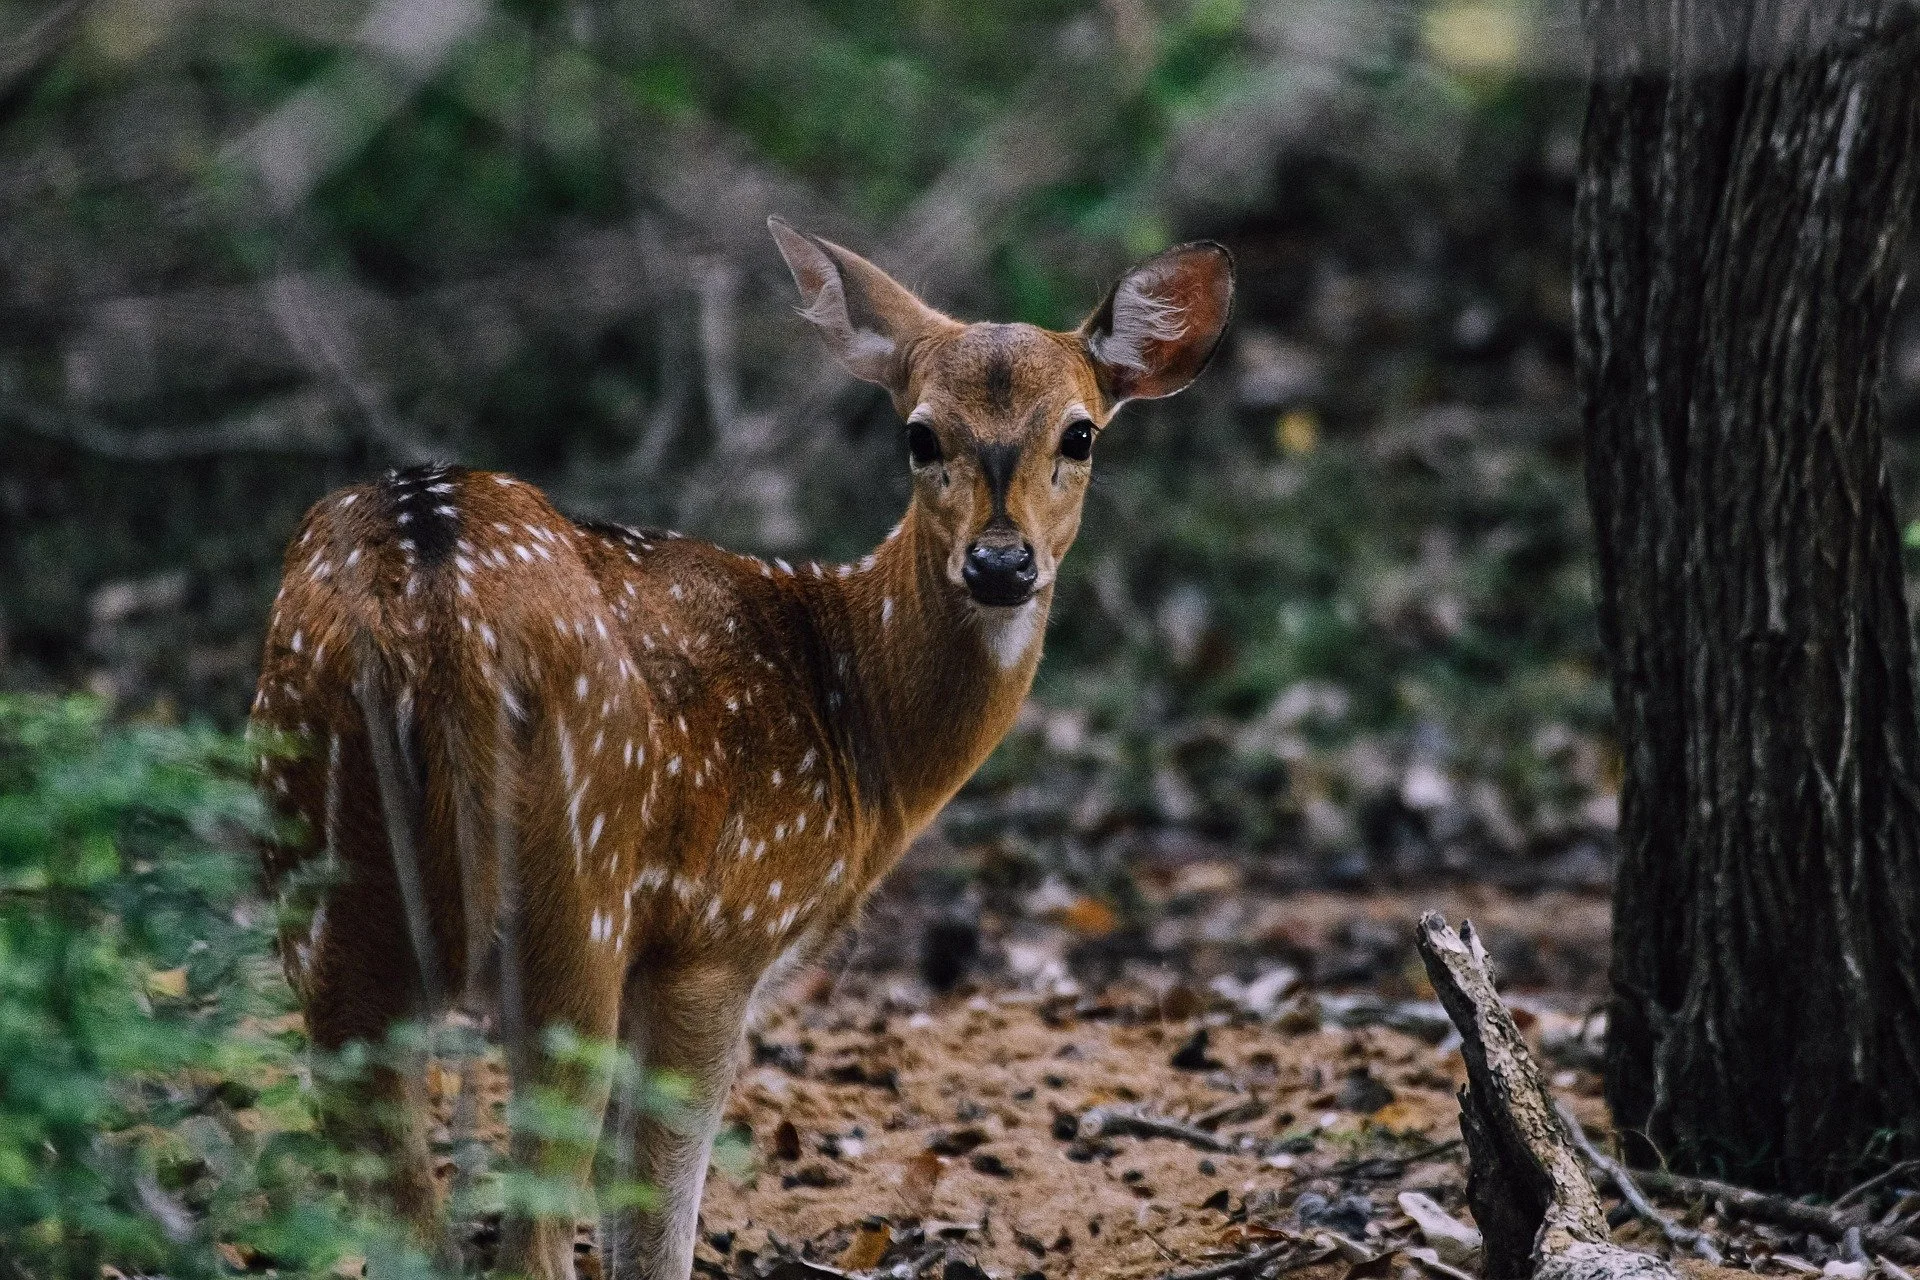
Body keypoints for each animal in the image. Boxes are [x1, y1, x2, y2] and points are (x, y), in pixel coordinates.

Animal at [250, 217, 1232, 1279]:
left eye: (1080, 433)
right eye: (921, 434)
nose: (1001, 563)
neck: (856, 733)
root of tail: (429, 615)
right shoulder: (719, 933)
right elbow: (654, 1222)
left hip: (324, 886)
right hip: (574, 898)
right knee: (532, 1237)